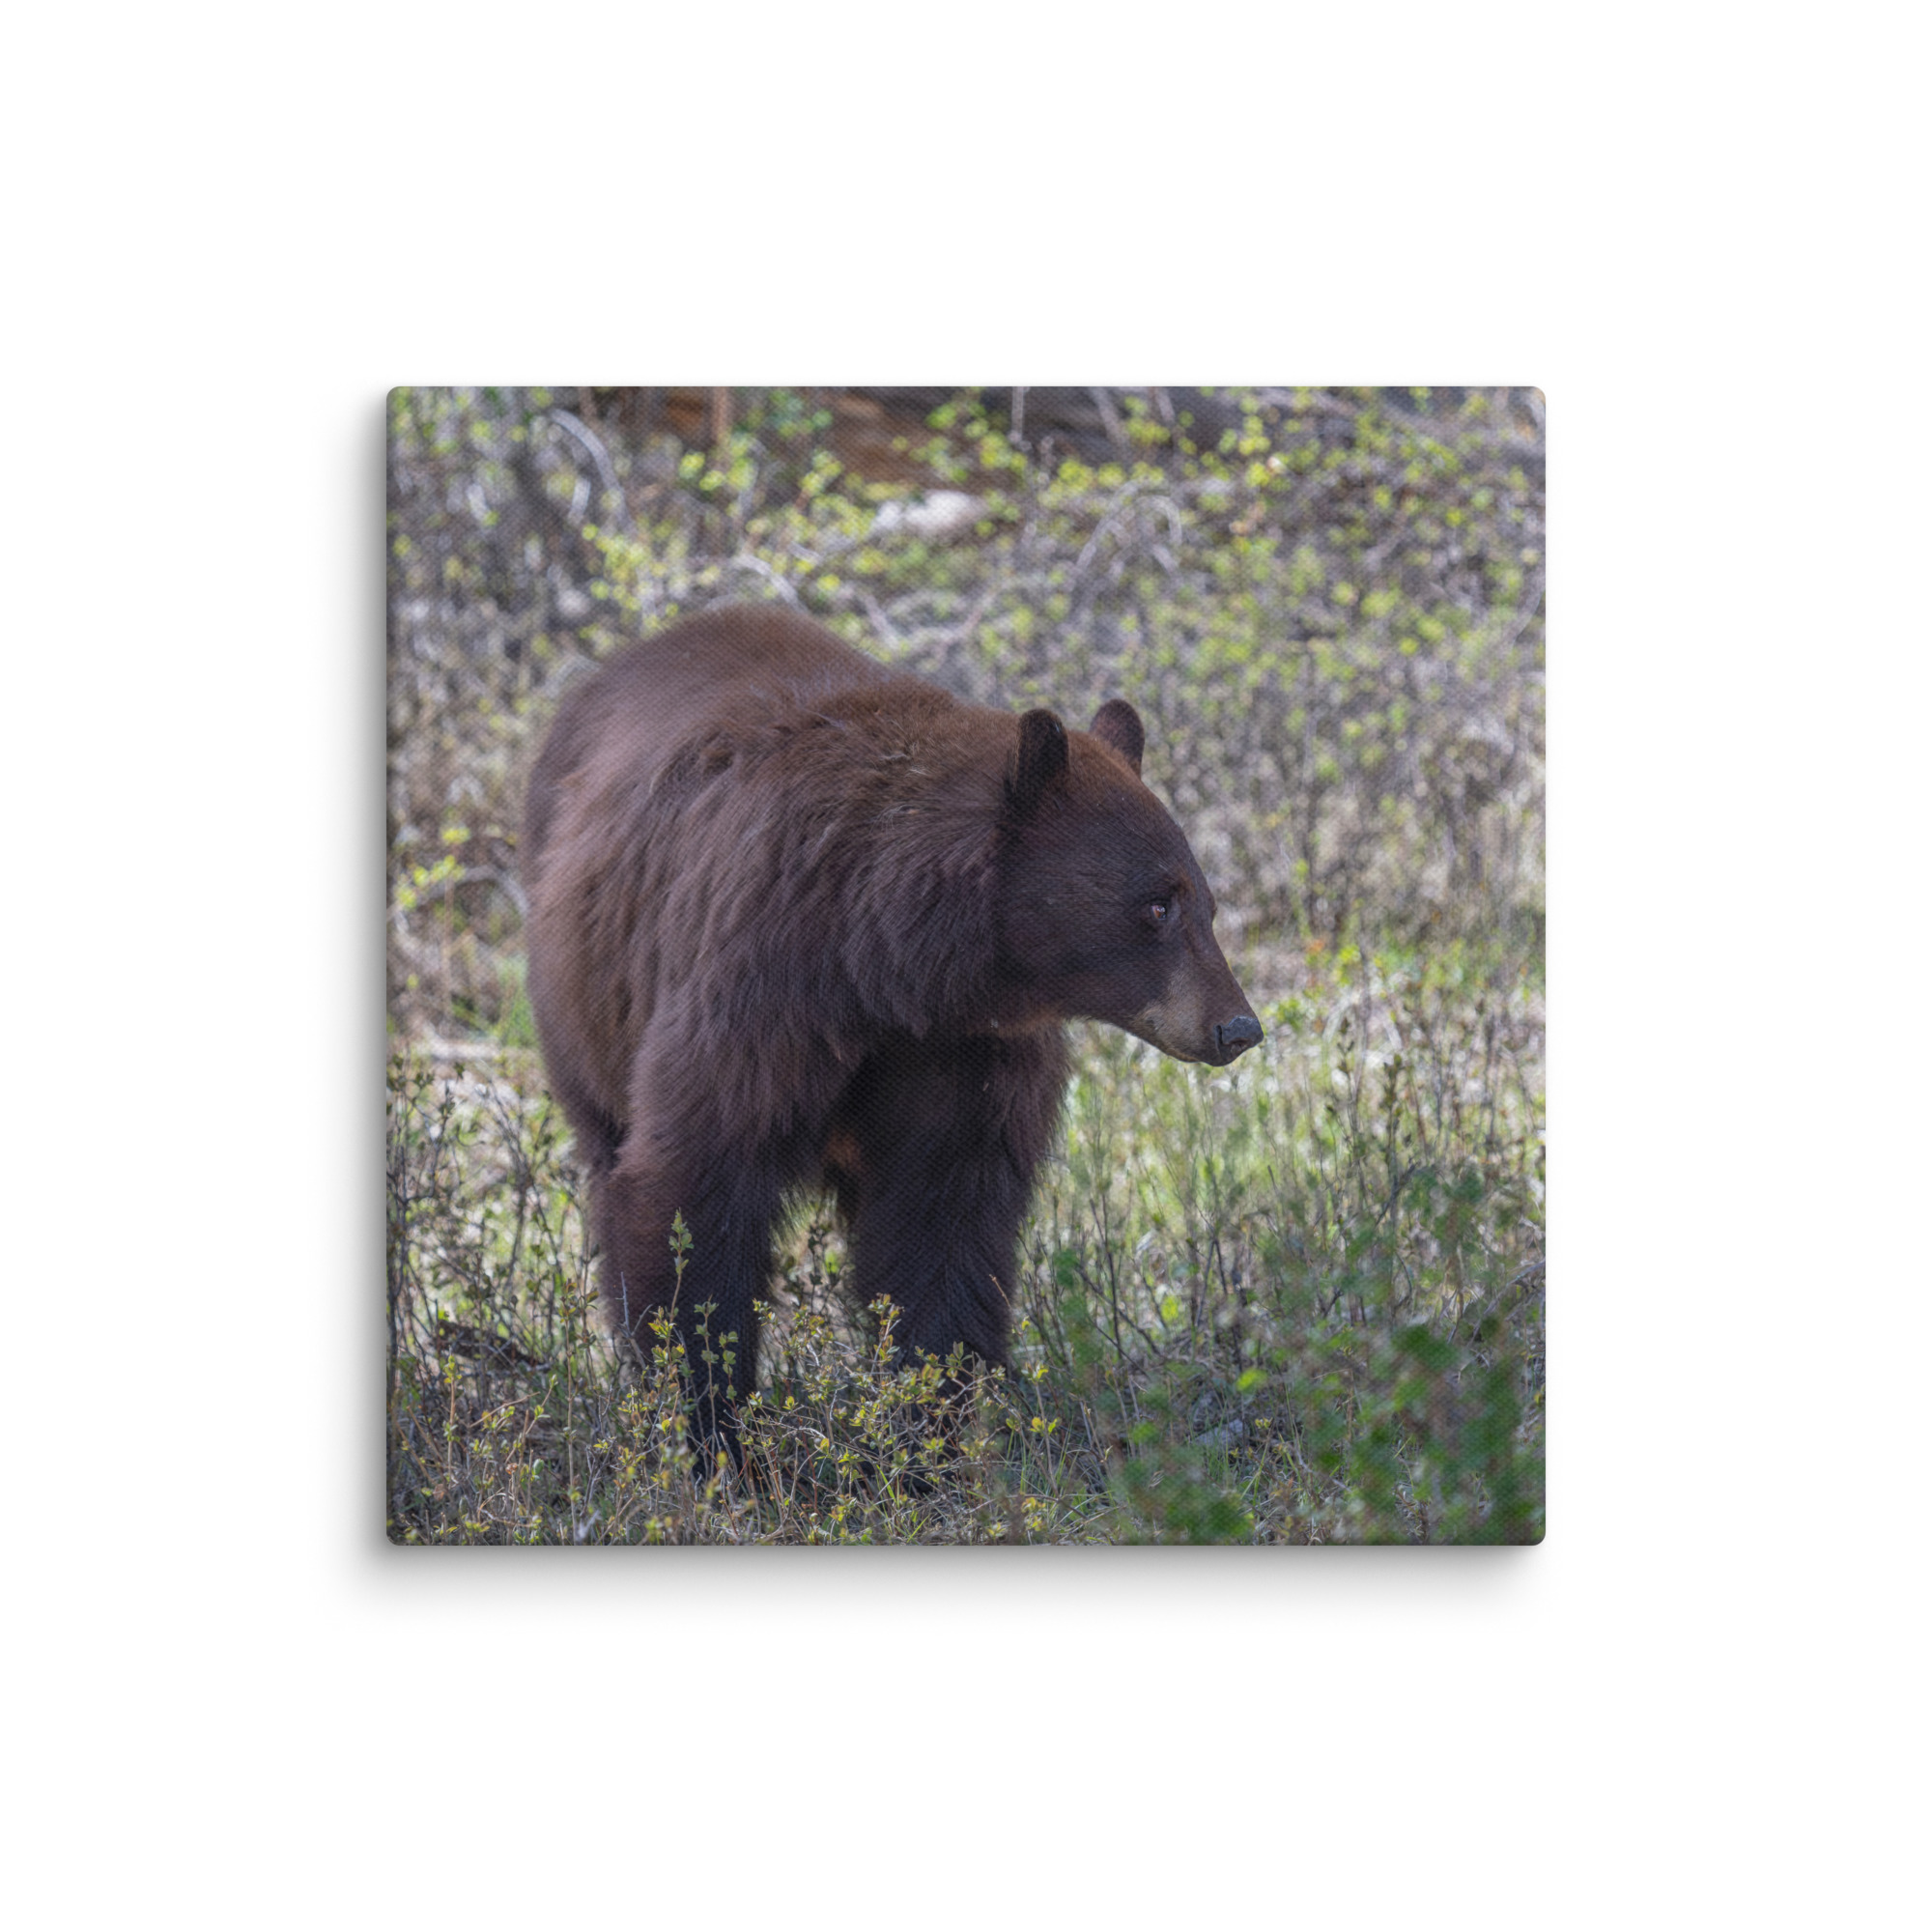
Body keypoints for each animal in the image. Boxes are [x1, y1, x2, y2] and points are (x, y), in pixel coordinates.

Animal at [522, 602, 1260, 1453]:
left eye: (1206, 902)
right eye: (1156, 905)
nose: (1237, 1026)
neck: (887, 964)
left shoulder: (965, 1054)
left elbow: (942, 1226)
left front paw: (923, 1434)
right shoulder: (760, 989)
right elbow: (695, 1185)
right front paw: (712, 1428)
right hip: (583, 1003)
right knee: (608, 1152)